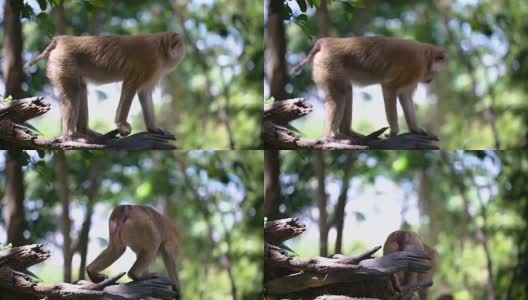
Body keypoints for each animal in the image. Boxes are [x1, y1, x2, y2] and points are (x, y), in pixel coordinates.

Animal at [24, 32, 186, 142]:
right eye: (179, 43)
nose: (182, 48)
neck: (160, 49)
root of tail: (62, 39)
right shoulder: (149, 60)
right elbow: (130, 84)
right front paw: (122, 125)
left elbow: (144, 92)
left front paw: (154, 129)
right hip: (63, 64)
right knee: (73, 91)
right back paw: (71, 135)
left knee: (81, 88)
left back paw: (85, 131)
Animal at [290, 36, 448, 142]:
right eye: (435, 73)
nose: (430, 80)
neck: (425, 57)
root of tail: (326, 42)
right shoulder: (413, 66)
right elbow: (389, 87)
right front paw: (394, 132)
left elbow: (405, 96)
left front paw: (416, 129)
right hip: (329, 65)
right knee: (339, 94)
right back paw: (332, 136)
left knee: (346, 91)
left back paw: (348, 133)